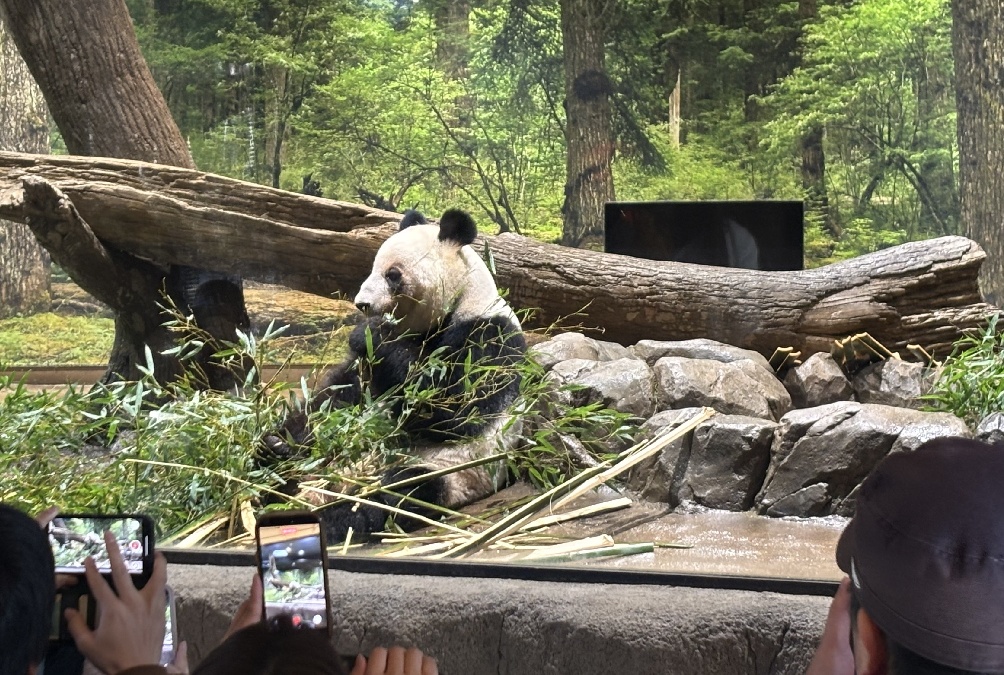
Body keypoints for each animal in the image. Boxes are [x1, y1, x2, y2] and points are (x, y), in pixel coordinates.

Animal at [262, 208, 527, 543]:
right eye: (373, 267)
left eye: (393, 274)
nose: (362, 304)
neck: (461, 300)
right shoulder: (363, 373)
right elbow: (340, 395)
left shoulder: (489, 334)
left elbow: (455, 409)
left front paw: (373, 334)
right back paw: (275, 450)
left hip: (450, 470)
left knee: (397, 494)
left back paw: (329, 517)